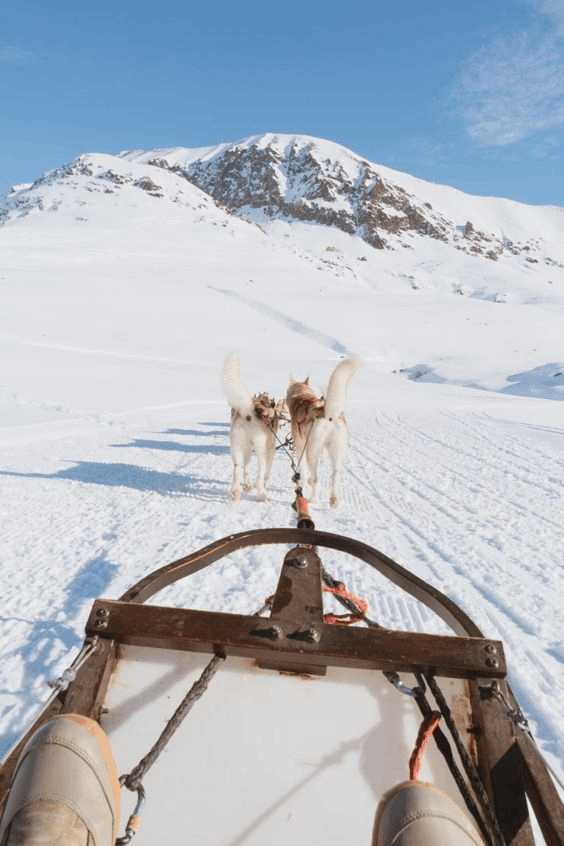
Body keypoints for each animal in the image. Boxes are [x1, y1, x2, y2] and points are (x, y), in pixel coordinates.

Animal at [221, 352, 280, 504]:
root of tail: (250, 411)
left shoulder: (247, 448)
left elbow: (246, 467)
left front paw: (247, 484)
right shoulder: (270, 448)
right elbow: (266, 473)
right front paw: (265, 484)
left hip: (237, 448)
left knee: (237, 470)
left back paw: (235, 493)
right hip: (261, 451)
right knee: (260, 475)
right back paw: (261, 494)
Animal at [286, 358, 362, 510]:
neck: (301, 396)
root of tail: (328, 414)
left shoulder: (300, 445)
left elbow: (302, 468)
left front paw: (304, 480)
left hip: (311, 452)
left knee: (315, 479)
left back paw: (313, 498)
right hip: (337, 452)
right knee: (335, 476)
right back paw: (333, 499)